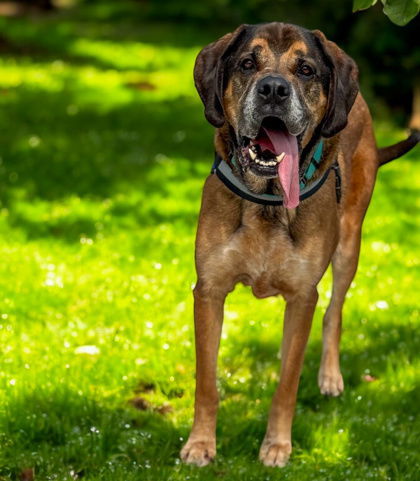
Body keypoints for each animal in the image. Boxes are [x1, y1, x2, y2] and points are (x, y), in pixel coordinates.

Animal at [180, 21, 416, 464]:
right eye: (247, 63)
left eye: (305, 70)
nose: (273, 89)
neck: (268, 201)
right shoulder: (209, 291)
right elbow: (207, 380)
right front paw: (201, 443)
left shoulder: (305, 295)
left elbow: (288, 382)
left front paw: (277, 445)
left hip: (349, 245)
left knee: (334, 312)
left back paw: (329, 376)